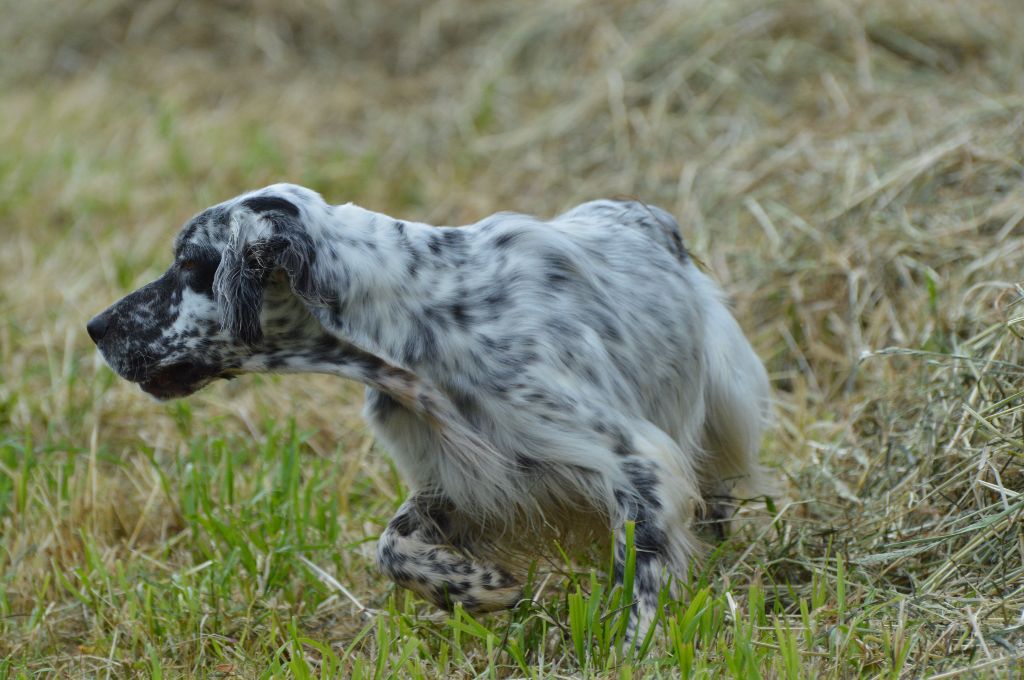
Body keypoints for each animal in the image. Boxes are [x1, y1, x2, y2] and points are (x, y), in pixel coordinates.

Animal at [88, 182, 770, 639]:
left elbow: (644, 579)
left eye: (190, 265)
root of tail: (648, 214)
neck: (413, 326)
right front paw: (479, 590)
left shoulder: (634, 462)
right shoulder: (461, 482)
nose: (96, 327)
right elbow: (390, 549)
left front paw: (633, 649)